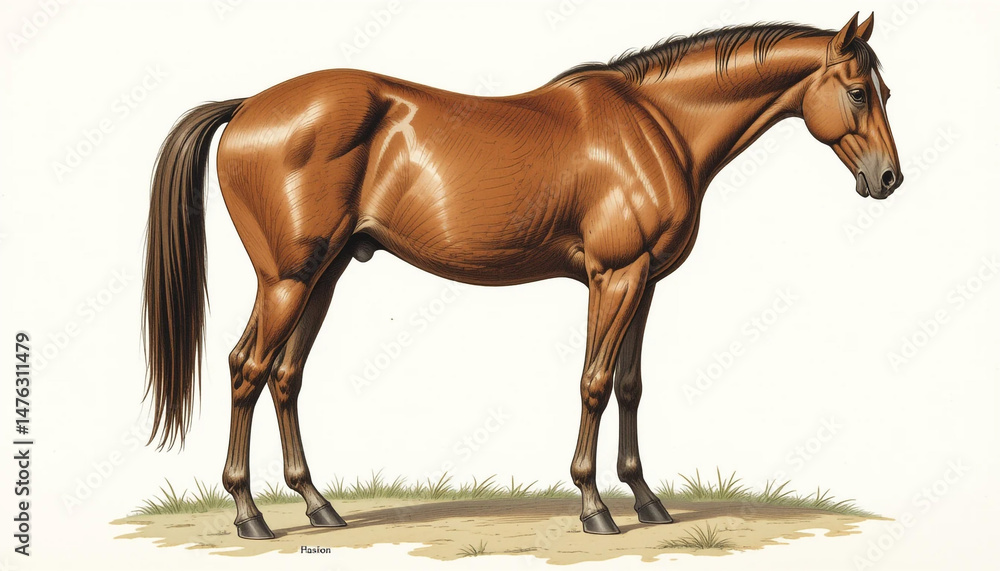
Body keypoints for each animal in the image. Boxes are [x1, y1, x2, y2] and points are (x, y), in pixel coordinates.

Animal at [142, 13, 901, 539]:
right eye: (857, 93)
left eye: (885, 89)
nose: (888, 178)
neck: (657, 127)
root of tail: (247, 106)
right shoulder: (614, 276)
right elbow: (595, 383)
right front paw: (595, 507)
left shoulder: (645, 281)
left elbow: (630, 386)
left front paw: (647, 500)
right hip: (287, 279)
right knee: (246, 368)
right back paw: (250, 515)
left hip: (322, 278)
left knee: (285, 376)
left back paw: (319, 505)